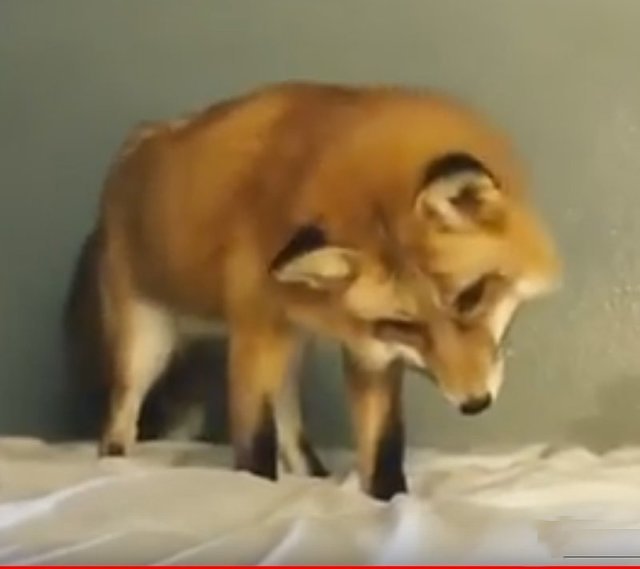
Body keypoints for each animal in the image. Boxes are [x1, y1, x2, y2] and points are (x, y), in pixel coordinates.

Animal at [63, 82, 560, 500]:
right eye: (405, 323)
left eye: (470, 297)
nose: (474, 403)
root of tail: (134, 147)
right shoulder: (255, 331)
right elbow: (254, 443)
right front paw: (252, 493)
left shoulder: (368, 350)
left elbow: (383, 446)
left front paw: (391, 502)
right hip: (147, 348)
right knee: (118, 423)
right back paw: (116, 467)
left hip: (287, 345)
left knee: (291, 423)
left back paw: (313, 475)